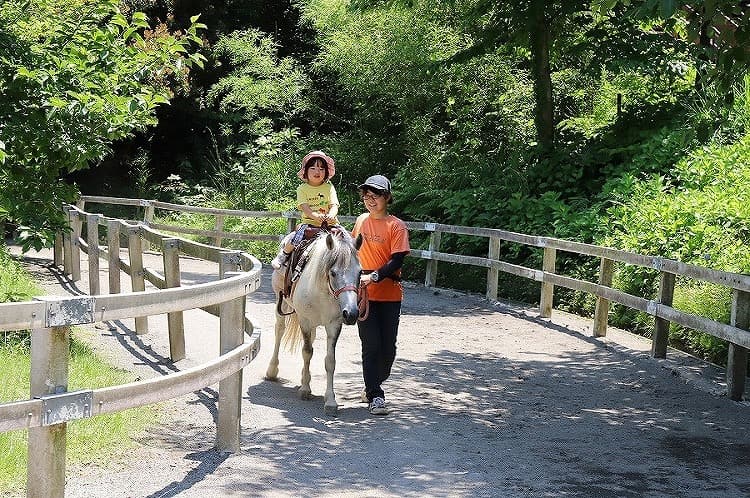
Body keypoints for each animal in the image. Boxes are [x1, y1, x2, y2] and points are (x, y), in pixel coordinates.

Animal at [268, 231, 364, 414]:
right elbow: (307, 352)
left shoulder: (334, 325)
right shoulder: (305, 320)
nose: (351, 313)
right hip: (281, 302)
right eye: (333, 273)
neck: (322, 290)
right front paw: (305, 389)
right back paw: (272, 371)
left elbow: (330, 361)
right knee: (279, 331)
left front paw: (331, 401)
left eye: (360, 273)